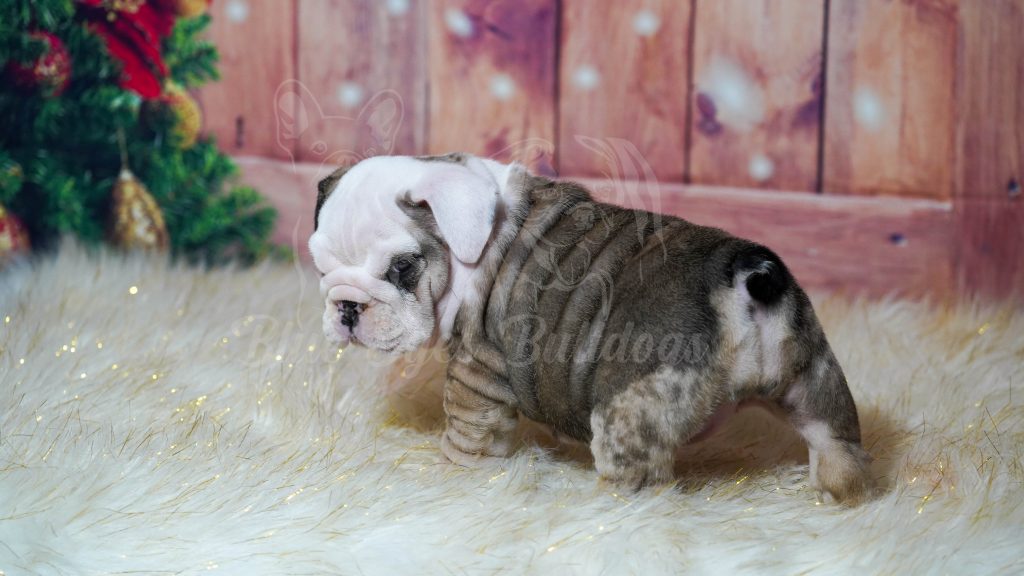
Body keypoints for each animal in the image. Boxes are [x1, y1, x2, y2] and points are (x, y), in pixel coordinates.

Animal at [307, 151, 876, 502]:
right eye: (320, 266)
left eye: (403, 267)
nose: (347, 307)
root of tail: (741, 276)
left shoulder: (476, 372)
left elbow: (468, 435)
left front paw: (452, 474)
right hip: (814, 377)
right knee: (836, 440)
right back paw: (842, 494)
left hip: (629, 410)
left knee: (642, 481)